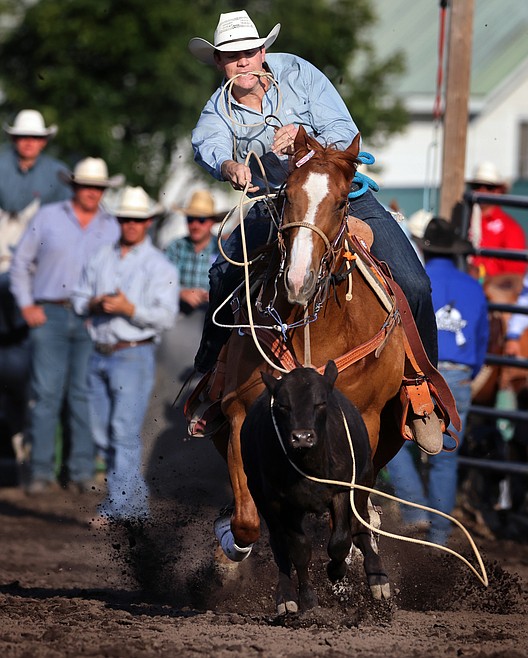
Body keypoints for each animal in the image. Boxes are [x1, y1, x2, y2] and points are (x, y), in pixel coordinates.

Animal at [211, 125, 408, 596]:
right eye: (286, 196)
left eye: (341, 202)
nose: (297, 280)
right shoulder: (242, 413)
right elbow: (248, 518)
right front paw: (232, 546)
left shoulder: (365, 423)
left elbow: (350, 503)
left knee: (363, 504)